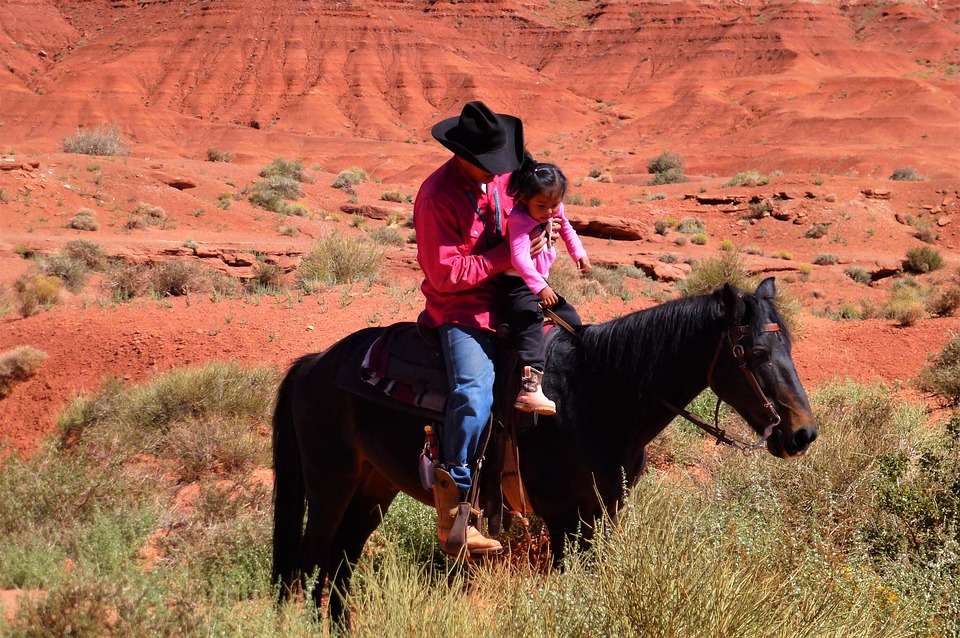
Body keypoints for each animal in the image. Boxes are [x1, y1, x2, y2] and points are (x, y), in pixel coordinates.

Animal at [270, 278, 816, 624]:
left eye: (790, 346)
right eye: (755, 353)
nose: (802, 434)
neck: (598, 390)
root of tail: (314, 363)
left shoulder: (604, 511)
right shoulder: (563, 515)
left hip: (374, 489)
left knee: (339, 566)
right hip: (330, 484)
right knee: (308, 562)